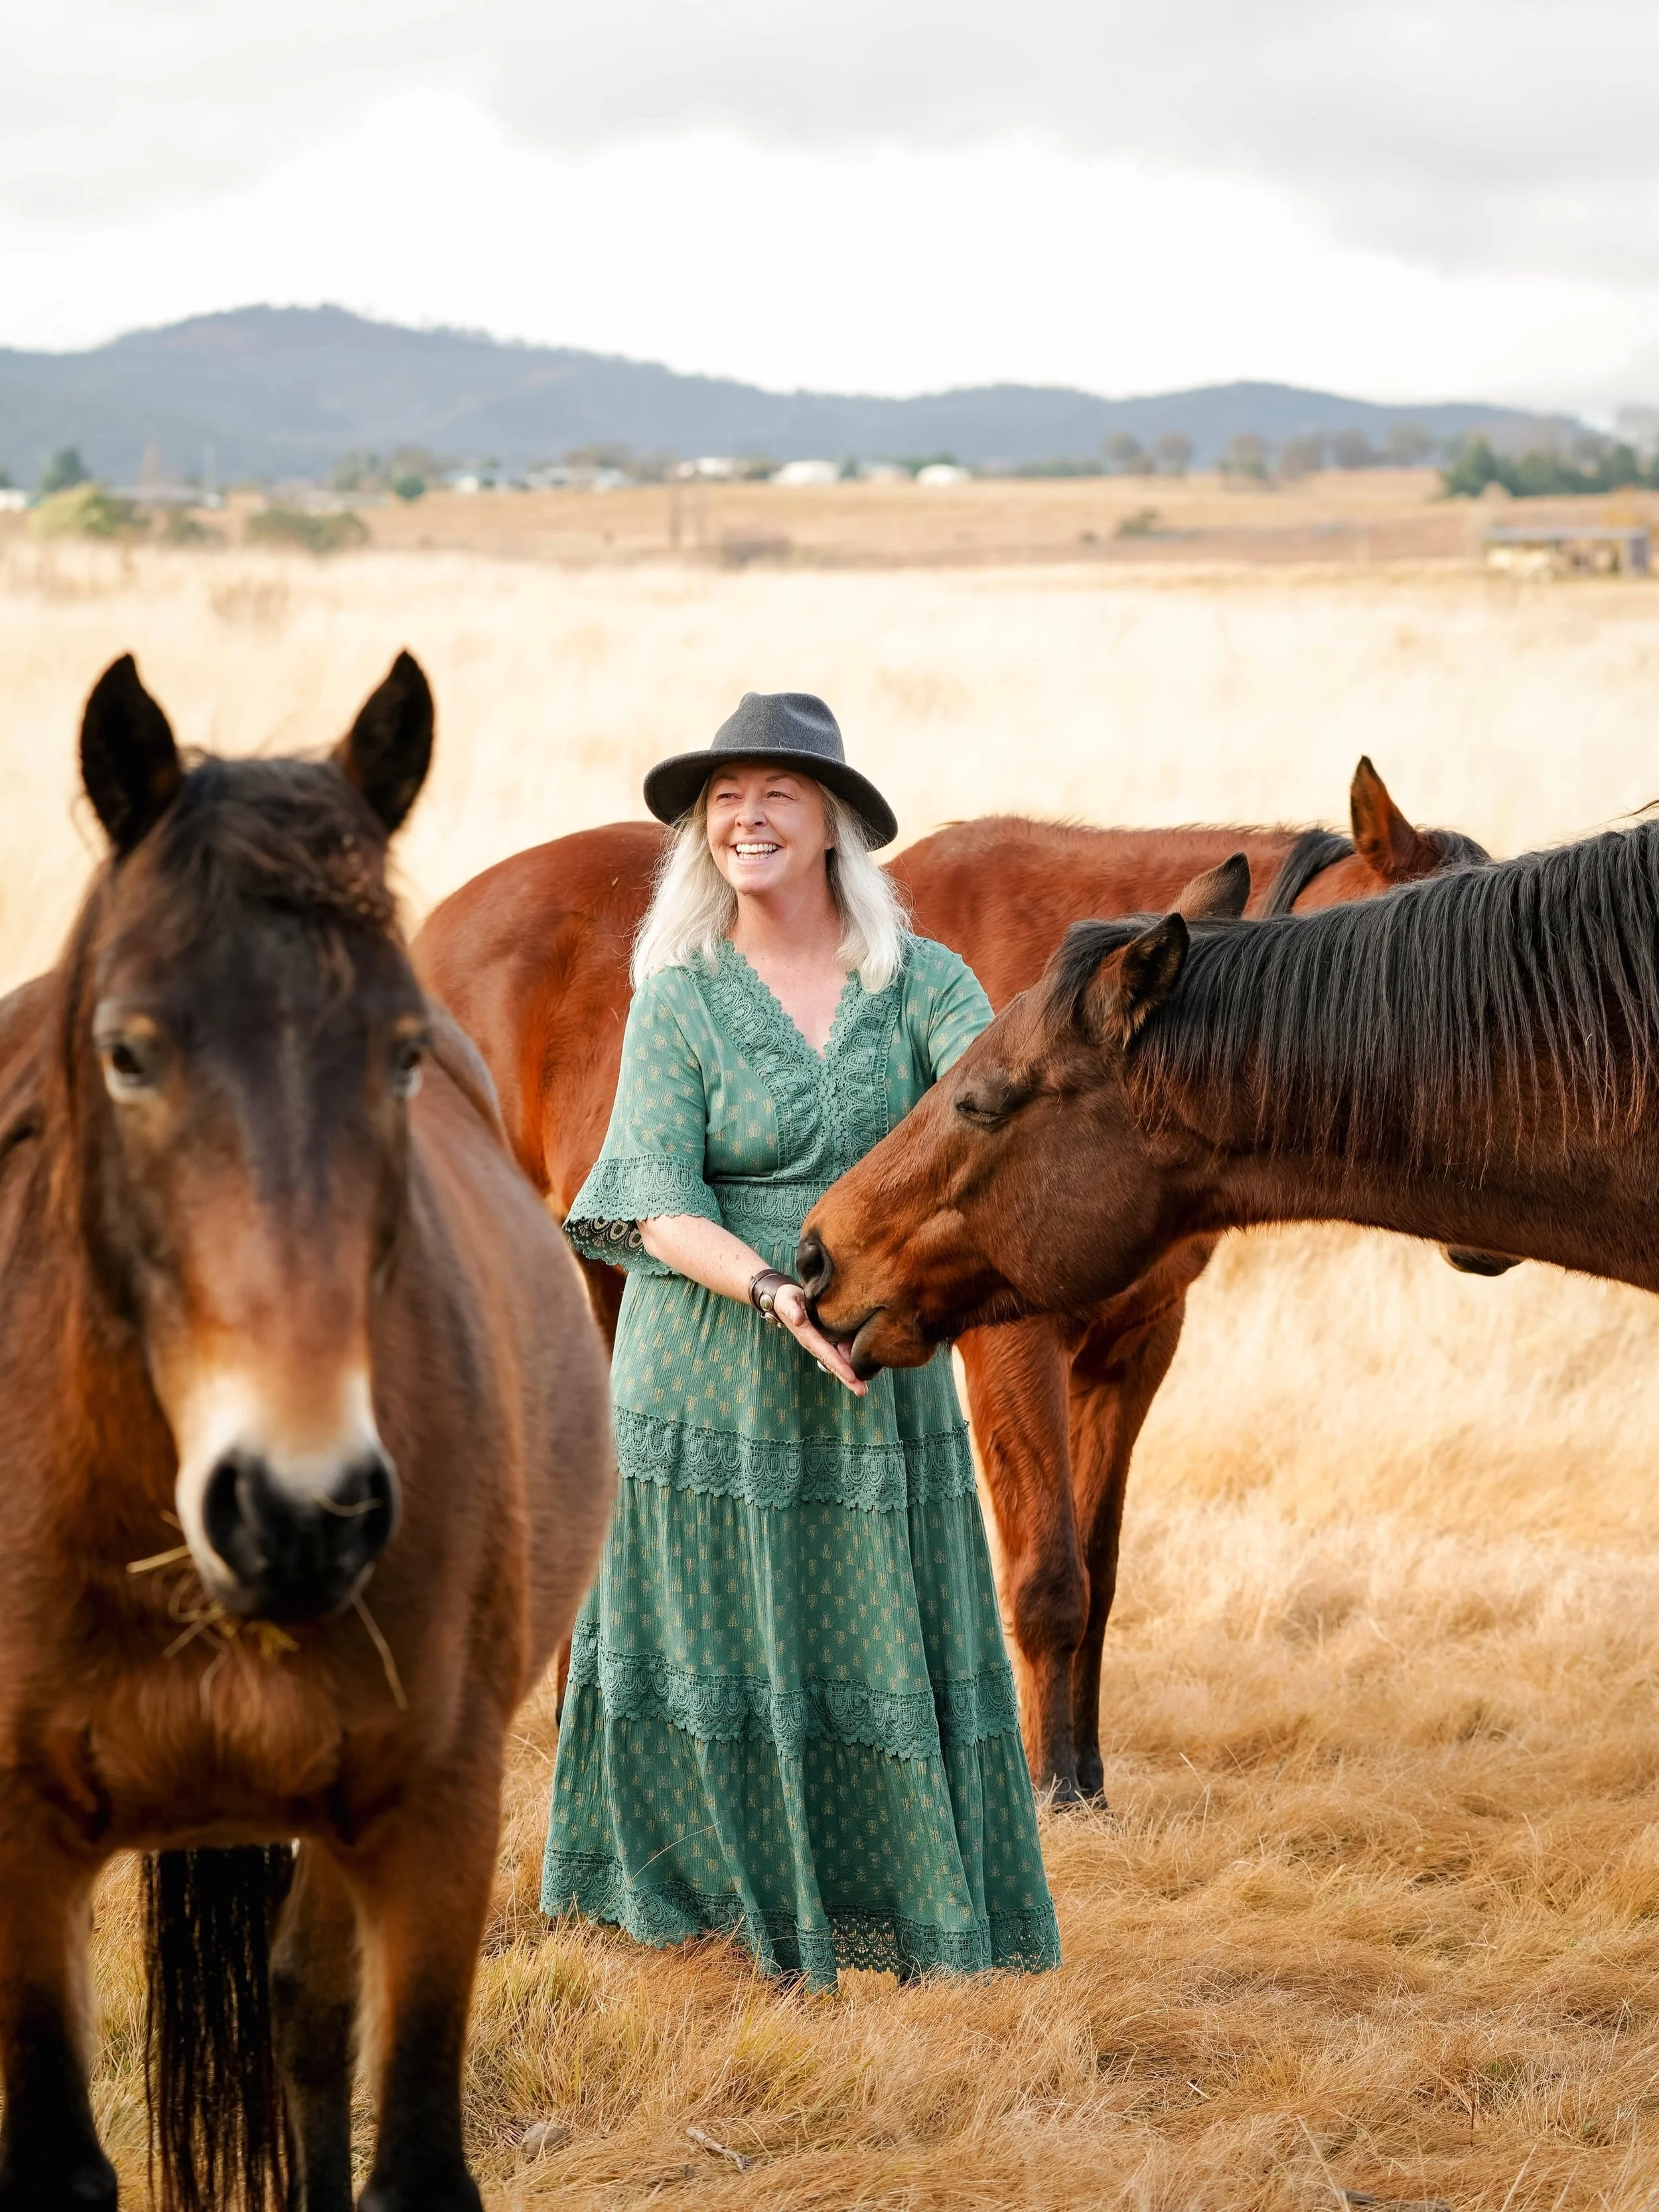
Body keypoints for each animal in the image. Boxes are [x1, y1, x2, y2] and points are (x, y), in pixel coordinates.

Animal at [0, 654, 612, 2212]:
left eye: (400, 1056)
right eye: (126, 1052)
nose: (298, 1512)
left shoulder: (435, 1825)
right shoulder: (19, 1845)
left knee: (308, 2009)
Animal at [414, 759, 1487, 1800]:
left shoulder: (1136, 1348)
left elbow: (1098, 1568)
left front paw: (1087, 1773)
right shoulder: (1017, 1340)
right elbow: (1050, 1578)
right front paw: (1054, 1788)